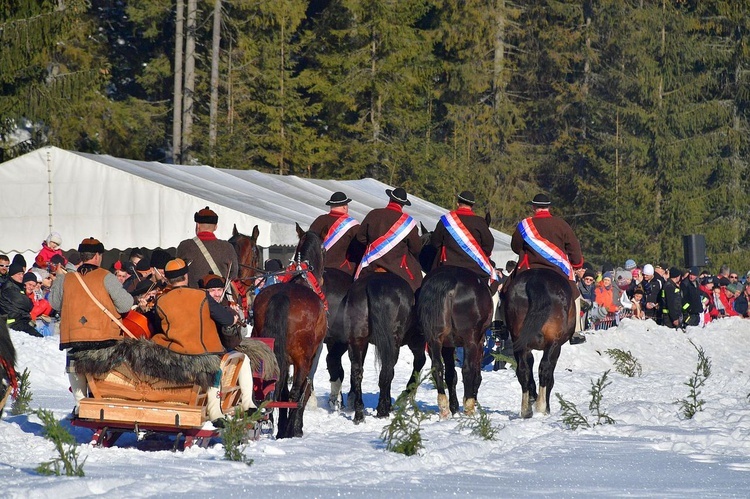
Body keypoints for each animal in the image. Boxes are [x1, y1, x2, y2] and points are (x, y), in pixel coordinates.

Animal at [251, 225, 328, 440]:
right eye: (324, 250)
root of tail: (282, 296)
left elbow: (283, 392)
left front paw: (283, 427)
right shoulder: (313, 358)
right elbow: (303, 391)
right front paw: (295, 428)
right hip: (303, 358)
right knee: (295, 393)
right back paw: (290, 430)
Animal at [502, 270, 580, 418]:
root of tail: (536, 279)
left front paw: (532, 398)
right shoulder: (555, 347)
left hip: (520, 343)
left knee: (523, 370)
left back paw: (526, 409)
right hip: (553, 344)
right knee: (545, 369)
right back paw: (542, 407)